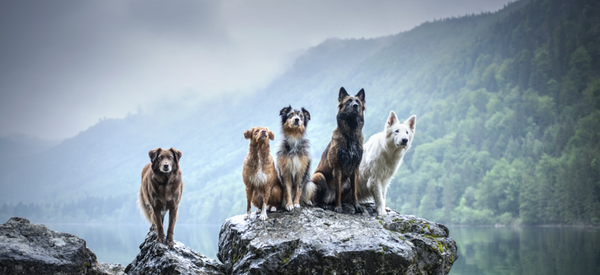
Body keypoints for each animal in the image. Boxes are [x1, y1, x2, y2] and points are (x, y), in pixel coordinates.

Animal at [314, 87, 366, 215]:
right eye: (348, 101)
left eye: (358, 101)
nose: (355, 106)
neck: (350, 135)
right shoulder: (337, 168)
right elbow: (337, 190)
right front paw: (338, 207)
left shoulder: (355, 169)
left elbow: (355, 192)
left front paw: (357, 206)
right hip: (318, 176)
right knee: (318, 200)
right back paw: (324, 204)